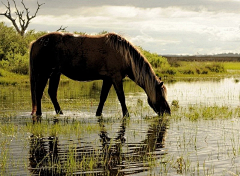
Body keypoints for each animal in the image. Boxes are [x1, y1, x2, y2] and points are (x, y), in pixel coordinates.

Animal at [29, 32, 171, 119]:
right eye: (161, 95)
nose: (168, 112)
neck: (124, 55)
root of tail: (36, 42)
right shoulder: (116, 78)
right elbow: (122, 97)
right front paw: (126, 115)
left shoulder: (108, 79)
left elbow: (103, 97)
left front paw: (98, 114)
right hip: (44, 73)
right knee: (39, 92)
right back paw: (40, 114)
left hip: (55, 73)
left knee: (51, 93)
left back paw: (60, 113)